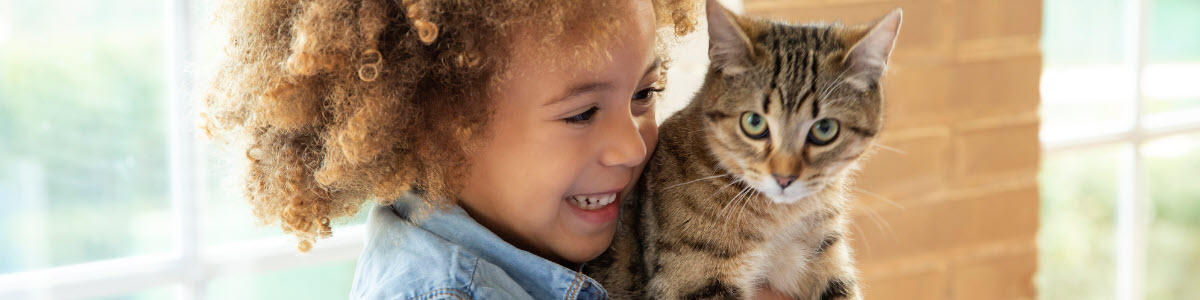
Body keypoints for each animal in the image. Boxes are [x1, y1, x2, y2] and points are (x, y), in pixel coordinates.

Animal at [585, 1, 902, 298]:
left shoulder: (828, 258)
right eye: (753, 122)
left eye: (824, 129)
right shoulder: (695, 280)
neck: (782, 218)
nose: (784, 178)